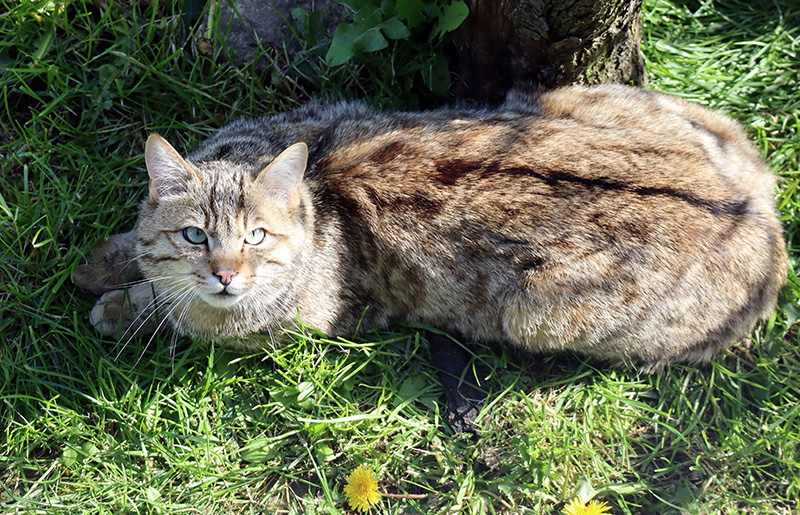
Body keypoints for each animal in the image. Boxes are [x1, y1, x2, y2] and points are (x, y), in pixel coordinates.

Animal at [73, 84, 788, 368]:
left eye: (256, 238)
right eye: (195, 235)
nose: (224, 275)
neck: (317, 197)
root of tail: (763, 214)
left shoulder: (297, 325)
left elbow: (183, 316)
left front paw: (125, 306)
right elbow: (144, 256)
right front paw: (105, 263)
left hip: (542, 311)